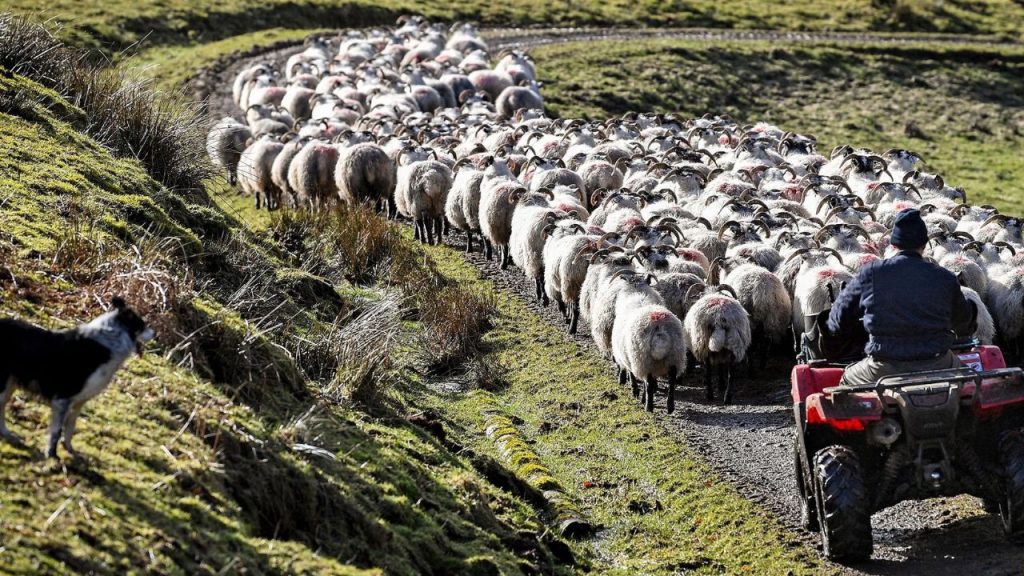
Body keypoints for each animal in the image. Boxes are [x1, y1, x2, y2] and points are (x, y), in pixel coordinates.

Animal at [606, 270, 688, 409]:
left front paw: (636, 392)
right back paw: (670, 406)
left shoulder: (629, 357)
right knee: (672, 380)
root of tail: (659, 328)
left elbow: (633, 376)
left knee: (648, 382)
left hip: (643, 358)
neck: (637, 291)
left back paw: (648, 406)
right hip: (674, 355)